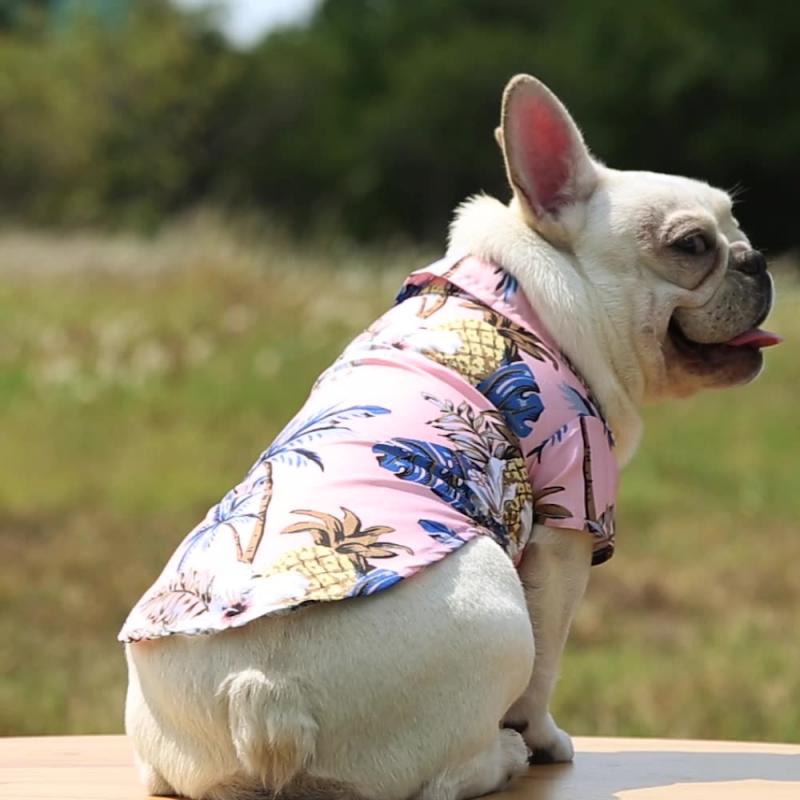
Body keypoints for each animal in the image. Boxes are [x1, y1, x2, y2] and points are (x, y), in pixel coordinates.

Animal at [122, 76, 780, 800]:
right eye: (691, 246)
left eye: (736, 224)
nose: (756, 258)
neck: (541, 299)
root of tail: (263, 693)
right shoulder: (566, 533)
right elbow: (547, 670)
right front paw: (547, 741)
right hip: (499, 607)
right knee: (449, 772)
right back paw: (507, 754)